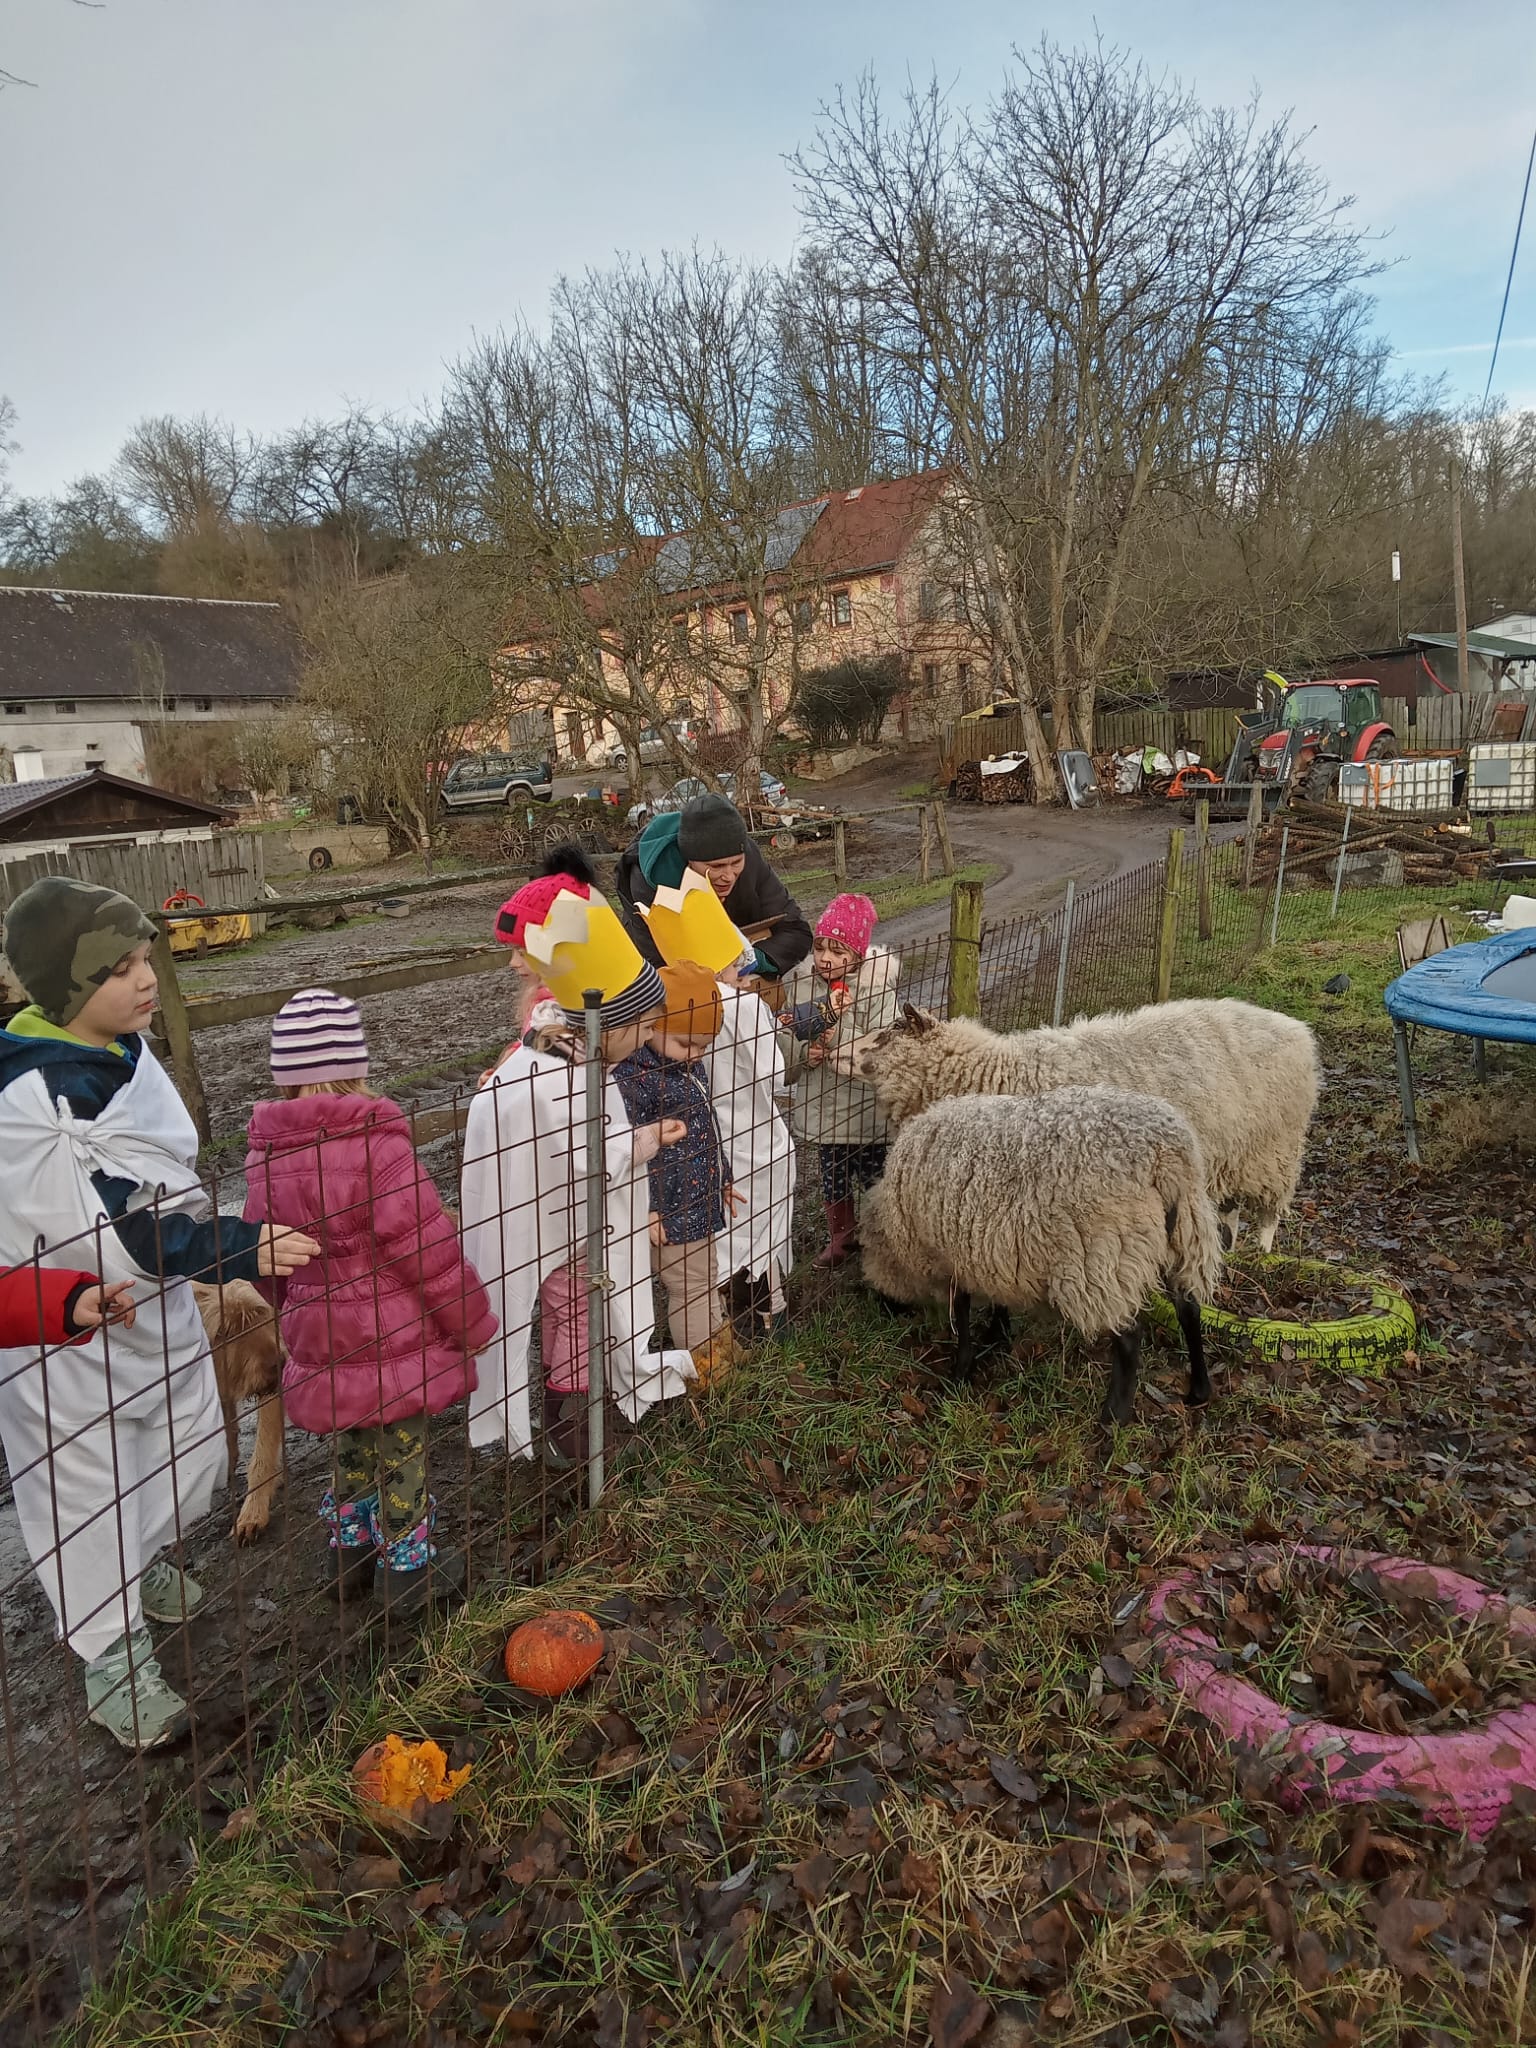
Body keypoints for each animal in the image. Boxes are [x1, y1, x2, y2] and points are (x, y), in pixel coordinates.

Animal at [843, 991, 1327, 1245]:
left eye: (887, 1035)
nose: (836, 1043)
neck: (999, 1074)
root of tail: (1297, 1030)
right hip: (1233, 1154)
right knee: (1231, 1207)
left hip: (1277, 1150)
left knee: (1270, 1211)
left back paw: (1262, 1251)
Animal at [860, 1089, 1236, 1425]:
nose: (882, 1307)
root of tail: (1166, 1158)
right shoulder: (990, 1249)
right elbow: (996, 1298)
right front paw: (997, 1334)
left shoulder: (952, 1254)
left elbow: (962, 1311)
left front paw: (960, 1372)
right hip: (1187, 1231)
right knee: (1189, 1308)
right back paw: (1198, 1390)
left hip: (1103, 1256)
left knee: (1129, 1337)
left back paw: (1112, 1419)